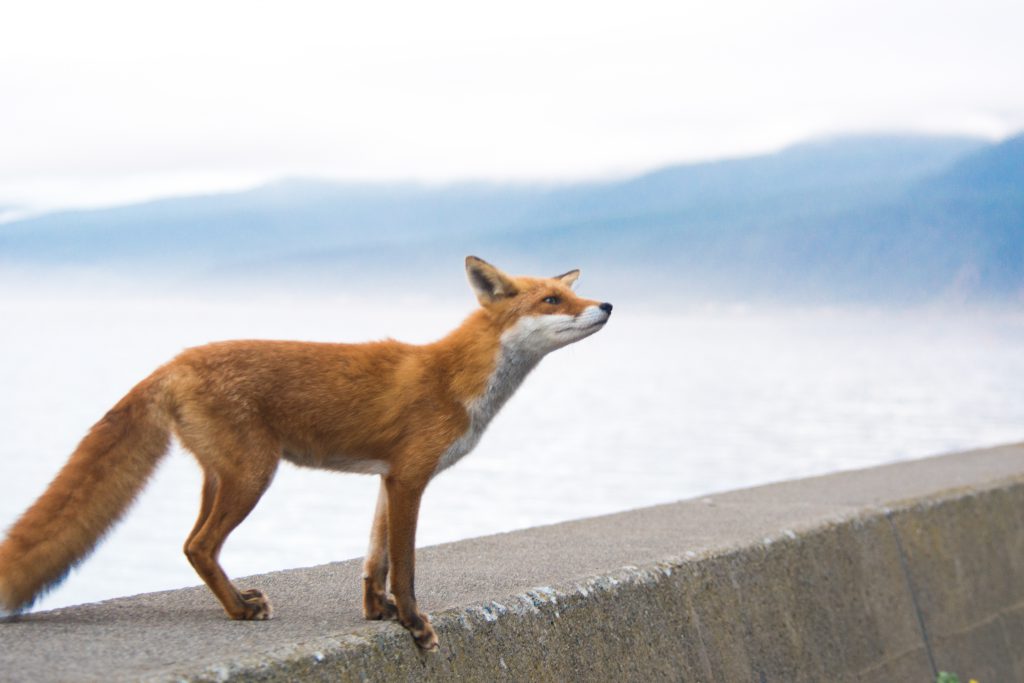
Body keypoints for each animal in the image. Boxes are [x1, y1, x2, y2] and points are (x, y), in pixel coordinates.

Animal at [0, 258, 606, 651]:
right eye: (552, 300)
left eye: (572, 294)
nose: (606, 304)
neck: (456, 378)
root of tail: (173, 362)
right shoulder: (411, 478)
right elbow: (405, 566)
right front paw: (413, 625)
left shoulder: (387, 478)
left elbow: (374, 561)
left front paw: (377, 613)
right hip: (253, 476)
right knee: (199, 544)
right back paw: (239, 611)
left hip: (222, 476)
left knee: (194, 546)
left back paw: (238, 599)